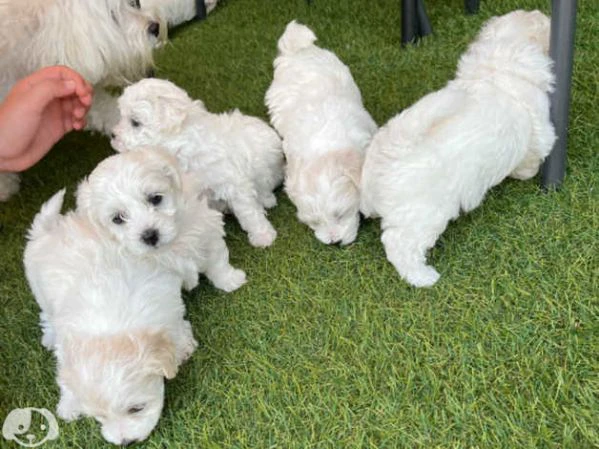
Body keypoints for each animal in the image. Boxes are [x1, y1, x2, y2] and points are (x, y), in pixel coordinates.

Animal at [22, 149, 245, 442]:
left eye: (155, 199)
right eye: (118, 218)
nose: (149, 235)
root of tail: (46, 229)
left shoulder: (205, 233)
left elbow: (217, 260)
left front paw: (231, 280)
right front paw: (69, 405)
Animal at [112, 79, 286, 248]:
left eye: (135, 122)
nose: (113, 135)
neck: (180, 149)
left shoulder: (232, 183)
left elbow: (249, 212)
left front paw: (263, 235)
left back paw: (266, 199)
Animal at [356, 10, 556, 288]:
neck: (496, 66)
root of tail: (394, 148)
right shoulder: (540, 133)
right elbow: (532, 159)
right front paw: (524, 175)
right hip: (425, 213)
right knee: (399, 245)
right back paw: (423, 277)